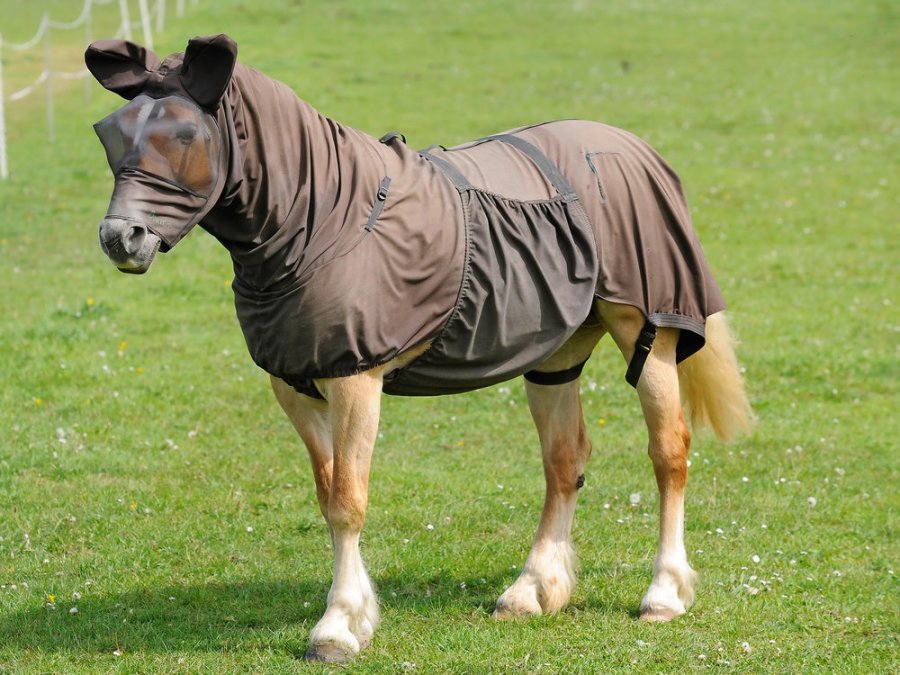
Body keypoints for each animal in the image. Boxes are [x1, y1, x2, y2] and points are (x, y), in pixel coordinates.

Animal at [86, 34, 752, 664]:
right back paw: (531, 589)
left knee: (669, 453)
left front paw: (337, 626)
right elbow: (328, 493)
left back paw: (663, 592)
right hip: (555, 354)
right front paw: (354, 613)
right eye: (109, 134)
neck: (324, 222)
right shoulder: (295, 384)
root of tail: (637, 149)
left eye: (184, 135)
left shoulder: (356, 379)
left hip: (648, 332)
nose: (121, 238)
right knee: (565, 462)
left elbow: (348, 502)